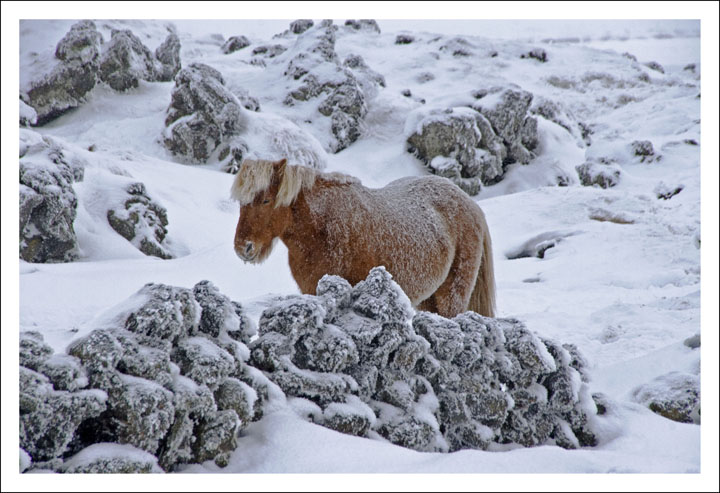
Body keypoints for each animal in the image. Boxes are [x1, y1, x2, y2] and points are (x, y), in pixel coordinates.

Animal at [231, 160, 496, 318]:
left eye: (266, 200)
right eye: (241, 202)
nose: (243, 247)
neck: (322, 228)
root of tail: (470, 203)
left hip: (452, 295)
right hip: (429, 299)